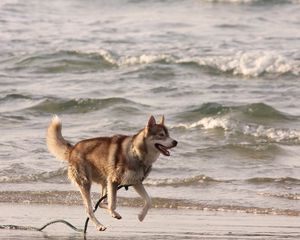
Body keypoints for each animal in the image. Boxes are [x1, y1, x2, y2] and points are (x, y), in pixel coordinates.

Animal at [46, 115, 177, 232]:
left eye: (169, 134)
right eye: (161, 135)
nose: (175, 142)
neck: (136, 153)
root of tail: (73, 148)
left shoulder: (136, 181)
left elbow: (149, 200)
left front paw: (141, 216)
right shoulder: (114, 180)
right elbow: (112, 204)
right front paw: (112, 212)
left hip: (104, 180)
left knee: (101, 201)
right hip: (86, 182)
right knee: (90, 209)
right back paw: (99, 225)